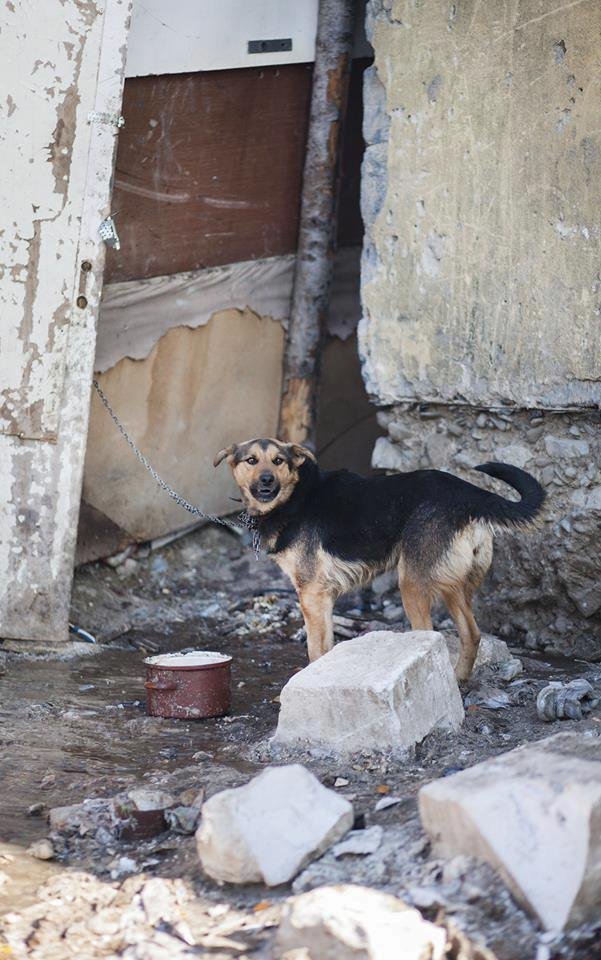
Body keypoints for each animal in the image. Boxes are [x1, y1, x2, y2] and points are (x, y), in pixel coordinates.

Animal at [214, 438, 544, 680]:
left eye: (278, 461)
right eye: (251, 460)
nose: (267, 480)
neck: (294, 497)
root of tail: (470, 494)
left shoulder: (310, 594)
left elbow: (315, 649)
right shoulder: (324, 597)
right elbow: (327, 645)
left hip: (412, 583)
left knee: (431, 635)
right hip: (451, 583)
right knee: (472, 634)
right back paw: (459, 681)